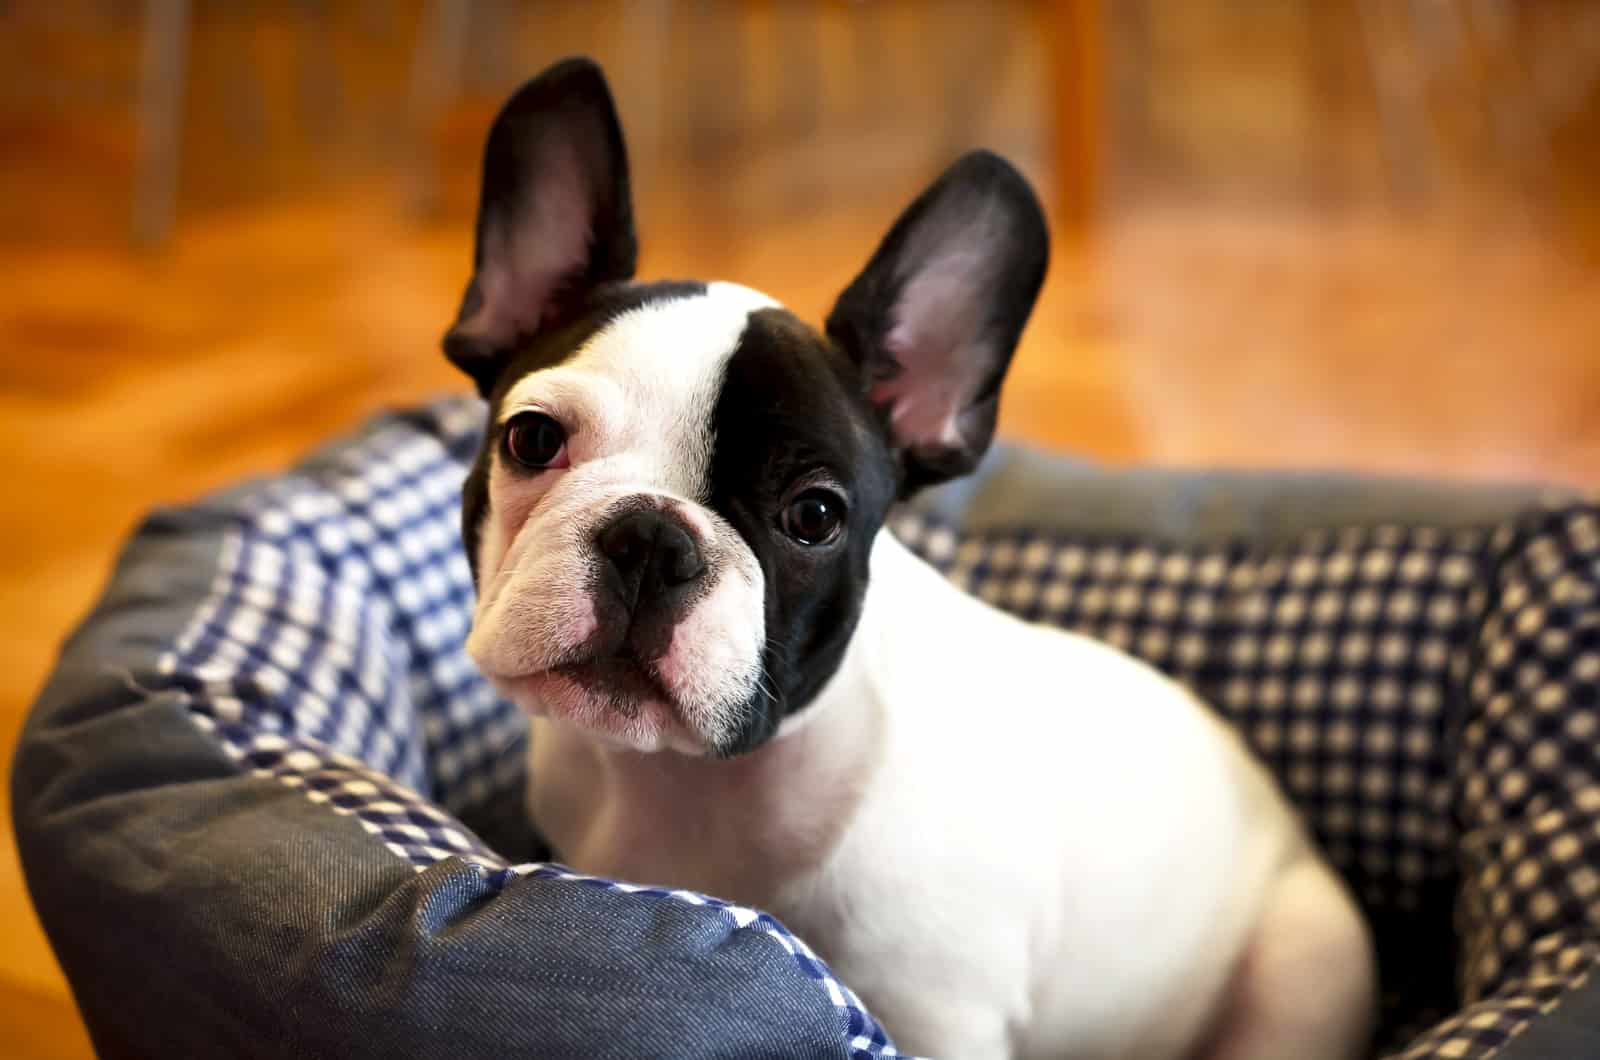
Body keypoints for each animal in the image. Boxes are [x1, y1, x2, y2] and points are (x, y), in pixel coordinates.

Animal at [451, 58, 1376, 1060]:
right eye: (532, 438)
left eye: (814, 516)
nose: (655, 539)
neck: (689, 780)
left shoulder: (940, 1017)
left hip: (1301, 966)